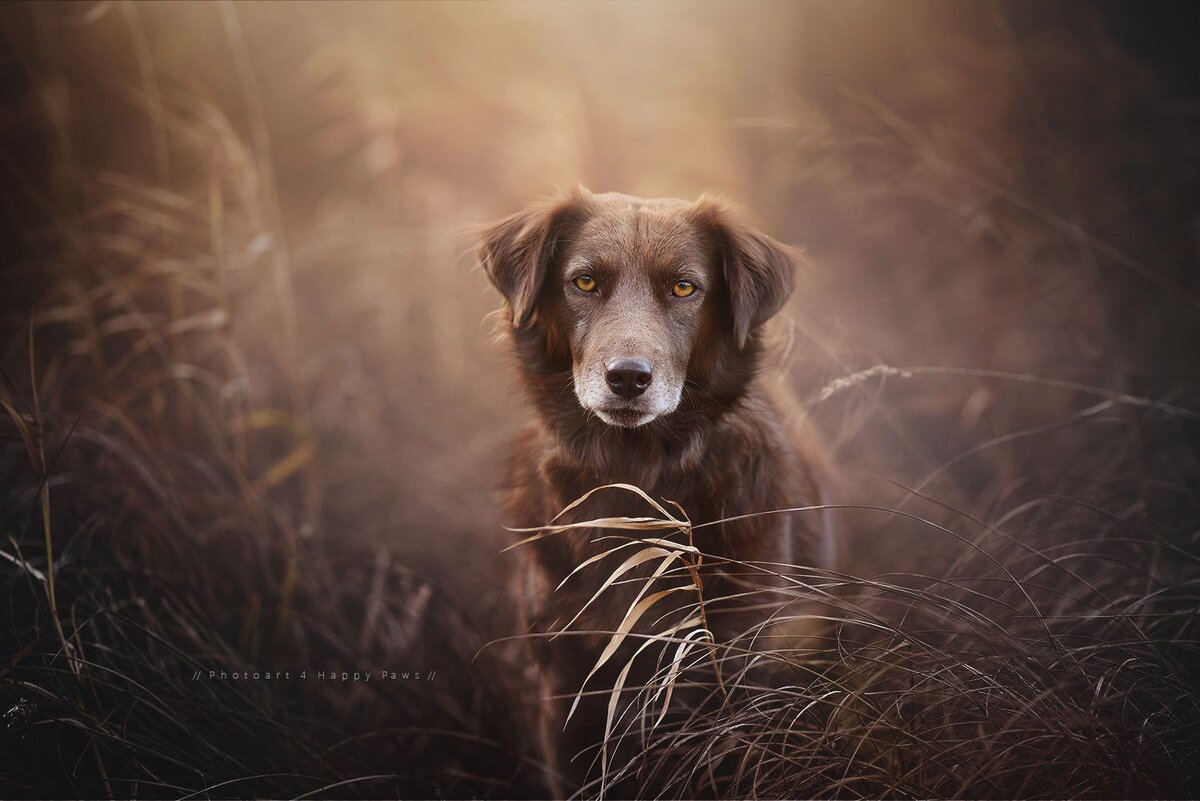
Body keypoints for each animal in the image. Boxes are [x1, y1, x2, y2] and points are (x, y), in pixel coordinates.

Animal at [477, 188, 835, 796]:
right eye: (585, 282)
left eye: (684, 288)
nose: (628, 378)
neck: (636, 479)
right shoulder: (567, 693)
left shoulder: (742, 680)